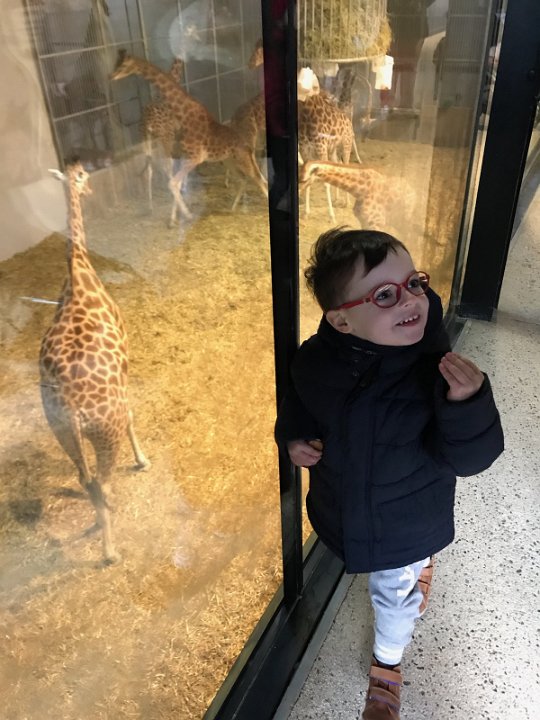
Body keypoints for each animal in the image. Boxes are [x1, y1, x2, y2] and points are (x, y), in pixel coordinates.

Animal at [40, 160, 149, 564]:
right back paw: (110, 551)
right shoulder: (127, 361)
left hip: (61, 432)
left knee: (85, 479)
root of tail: (73, 410)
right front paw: (143, 460)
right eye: (84, 175)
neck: (78, 268)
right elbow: (132, 413)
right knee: (100, 481)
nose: (87, 189)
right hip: (104, 433)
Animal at [111, 51, 268, 225]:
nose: (111, 76)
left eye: (123, 65)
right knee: (244, 179)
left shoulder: (194, 157)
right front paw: (179, 217)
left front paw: (184, 216)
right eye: (116, 63)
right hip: (229, 161)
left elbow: (173, 182)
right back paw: (232, 208)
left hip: (240, 158)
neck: (184, 113)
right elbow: (176, 183)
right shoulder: (187, 156)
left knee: (259, 178)